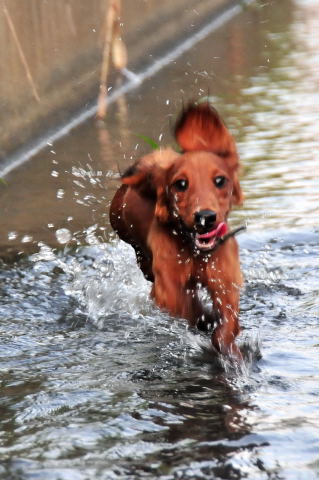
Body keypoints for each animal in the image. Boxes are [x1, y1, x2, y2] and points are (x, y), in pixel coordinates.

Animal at [110, 105, 245, 360]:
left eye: (220, 180)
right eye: (181, 184)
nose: (206, 217)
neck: (195, 251)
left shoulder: (225, 280)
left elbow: (228, 323)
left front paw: (229, 350)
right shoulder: (168, 288)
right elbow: (188, 307)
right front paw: (206, 320)